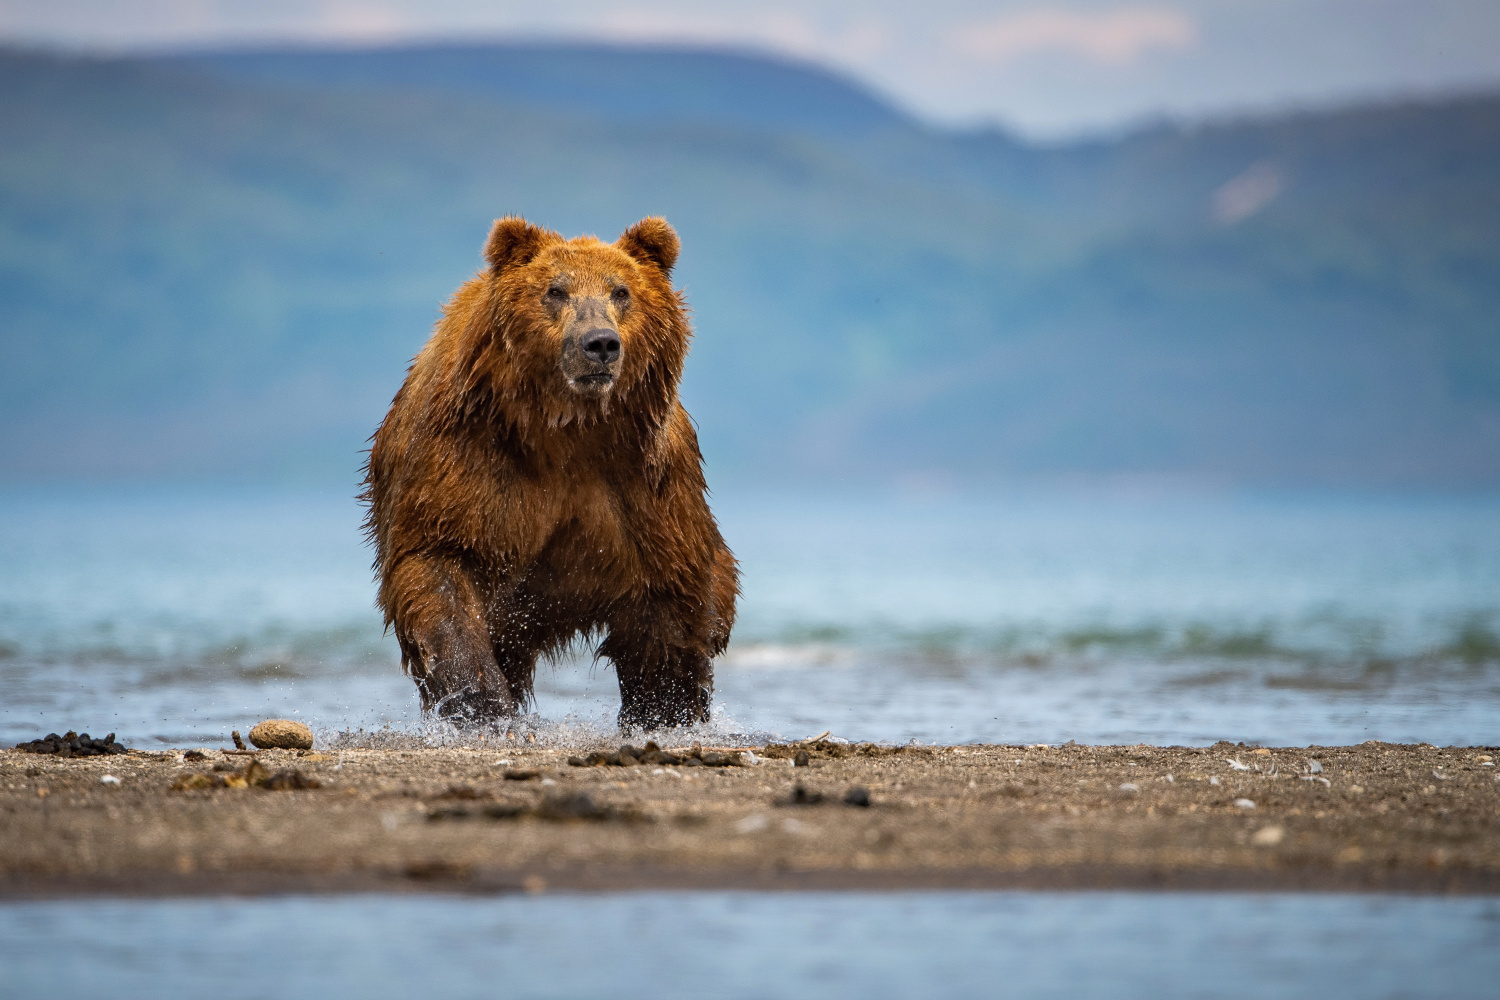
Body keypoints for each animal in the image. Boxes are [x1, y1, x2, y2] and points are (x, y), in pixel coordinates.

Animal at [363, 217, 738, 728]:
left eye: (621, 290)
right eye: (555, 290)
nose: (599, 343)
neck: (567, 431)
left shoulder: (644, 486)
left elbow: (667, 597)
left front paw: (666, 711)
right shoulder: (467, 464)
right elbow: (441, 571)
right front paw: (483, 707)